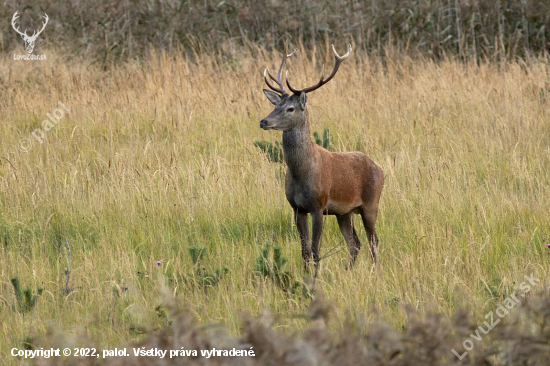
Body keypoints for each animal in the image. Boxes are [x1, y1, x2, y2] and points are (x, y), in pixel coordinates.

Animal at [260, 44, 386, 270]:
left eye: (290, 108)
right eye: (275, 106)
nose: (264, 121)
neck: (302, 173)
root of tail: (380, 169)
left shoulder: (318, 205)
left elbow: (315, 250)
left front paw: (315, 276)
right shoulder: (297, 208)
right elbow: (304, 251)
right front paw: (306, 274)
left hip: (371, 203)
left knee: (374, 241)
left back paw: (376, 271)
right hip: (344, 212)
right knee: (355, 243)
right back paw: (348, 271)